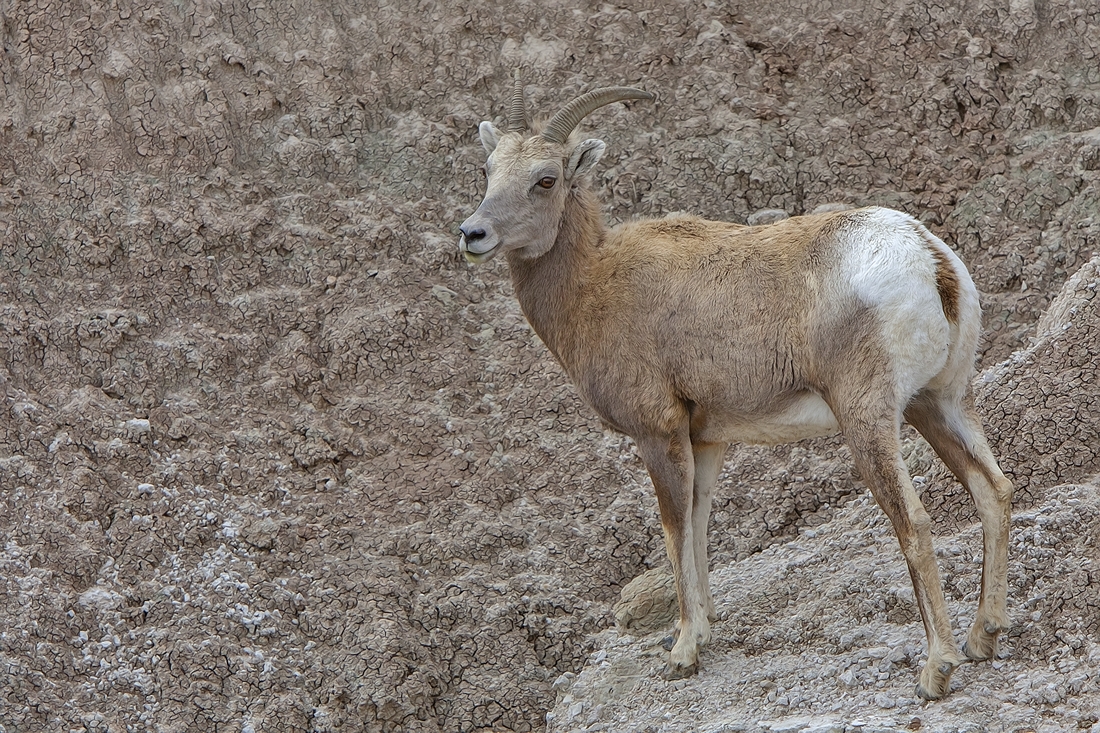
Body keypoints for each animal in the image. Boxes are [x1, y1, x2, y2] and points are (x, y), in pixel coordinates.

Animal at [455, 72, 1012, 695]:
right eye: (489, 170)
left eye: (545, 179)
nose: (472, 234)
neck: (594, 285)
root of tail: (929, 259)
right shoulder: (706, 439)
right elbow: (698, 527)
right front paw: (702, 632)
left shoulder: (659, 433)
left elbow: (675, 530)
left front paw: (681, 654)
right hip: (938, 403)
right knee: (993, 489)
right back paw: (983, 638)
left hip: (868, 420)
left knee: (912, 521)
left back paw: (936, 669)